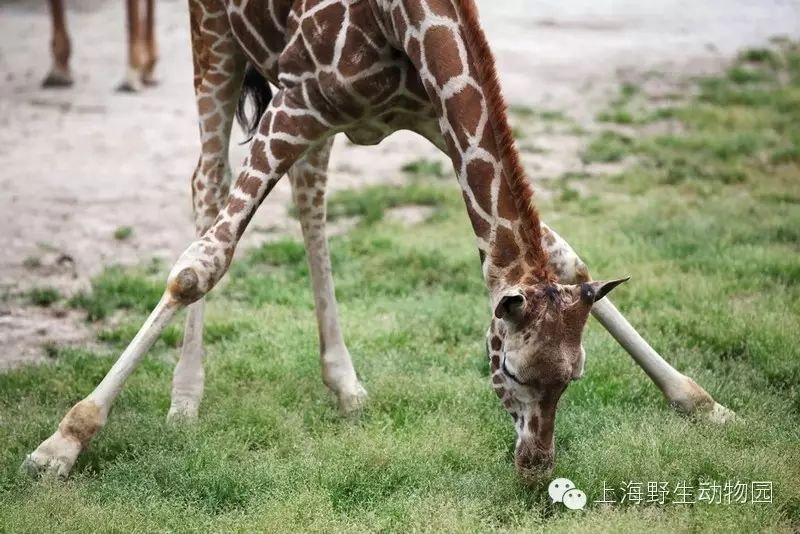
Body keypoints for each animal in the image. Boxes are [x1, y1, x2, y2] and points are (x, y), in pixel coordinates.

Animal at [21, 0, 736, 482]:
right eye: (509, 369)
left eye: (574, 378)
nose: (535, 468)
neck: (403, 20)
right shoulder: (297, 100)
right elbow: (200, 266)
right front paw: (62, 443)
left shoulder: (422, 113)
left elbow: (564, 254)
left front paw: (700, 402)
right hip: (216, 38)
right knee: (207, 182)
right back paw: (184, 401)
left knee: (309, 190)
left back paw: (345, 385)